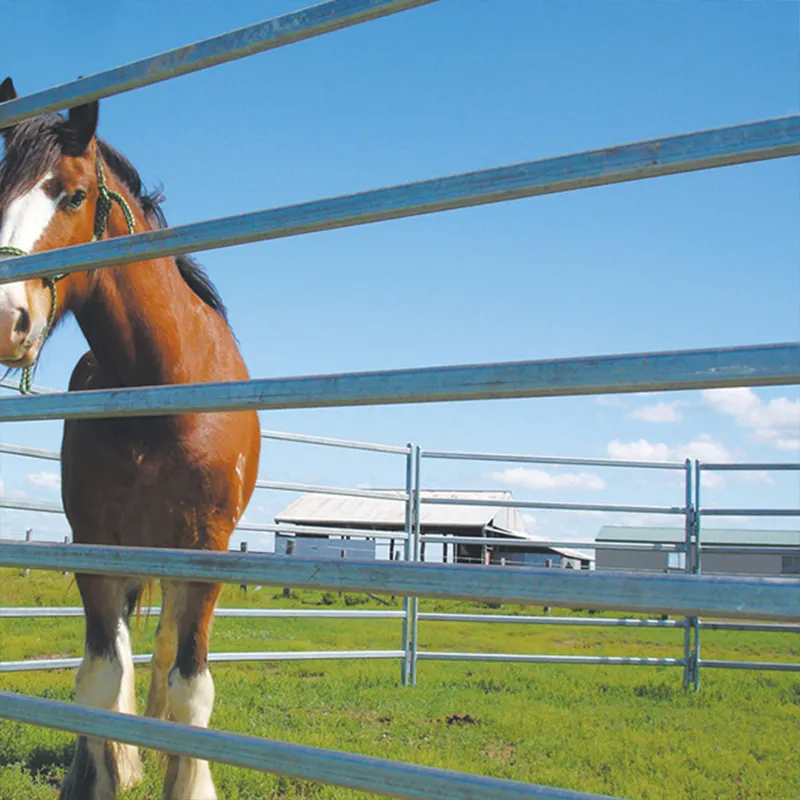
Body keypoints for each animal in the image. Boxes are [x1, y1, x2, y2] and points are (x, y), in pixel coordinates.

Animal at [0, 76, 260, 800]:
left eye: (72, 195)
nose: (5, 318)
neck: (160, 389)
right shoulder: (95, 543)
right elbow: (99, 677)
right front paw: (103, 771)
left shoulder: (204, 551)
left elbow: (190, 685)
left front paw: (185, 777)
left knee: (167, 650)